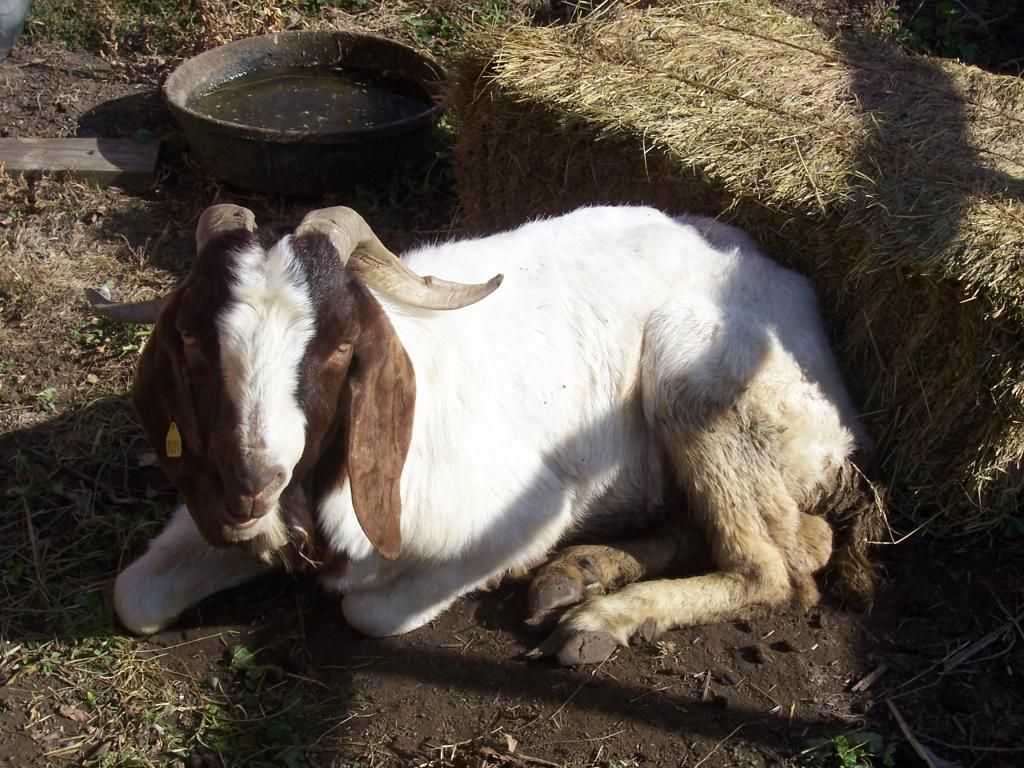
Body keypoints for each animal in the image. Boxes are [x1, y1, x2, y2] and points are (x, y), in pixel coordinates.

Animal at [95, 203, 883, 665]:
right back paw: (579, 574)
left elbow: (367, 609)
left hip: (693, 364)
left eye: (341, 347)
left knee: (784, 565)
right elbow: (134, 597)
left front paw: (509, 572)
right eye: (192, 345)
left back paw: (605, 618)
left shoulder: (530, 507)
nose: (252, 482)